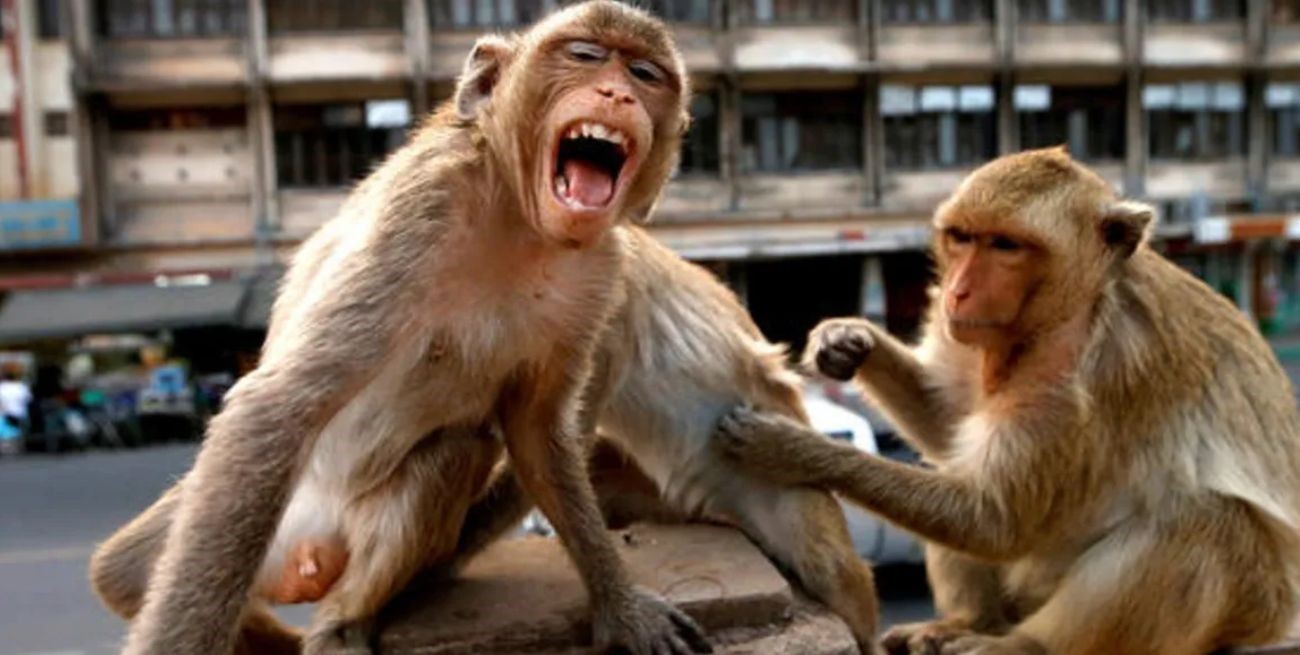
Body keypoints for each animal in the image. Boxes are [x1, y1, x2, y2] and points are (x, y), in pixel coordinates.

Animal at [98, 3, 710, 654]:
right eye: (586, 56)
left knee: (454, 453)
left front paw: (620, 606)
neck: (522, 221)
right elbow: (277, 406)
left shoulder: (601, 269)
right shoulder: (425, 205)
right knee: (129, 569)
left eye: (645, 74)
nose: (617, 92)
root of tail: (302, 557)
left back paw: (343, 620)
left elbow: (536, 430)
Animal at [712, 147, 1300, 655]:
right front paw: (848, 342)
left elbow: (995, 520)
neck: (1066, 310)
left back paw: (1024, 645)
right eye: (963, 238)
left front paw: (791, 449)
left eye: (1006, 247)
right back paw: (966, 622)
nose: (958, 292)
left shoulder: (1082, 375)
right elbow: (949, 427)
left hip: (1252, 607)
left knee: (1206, 521)